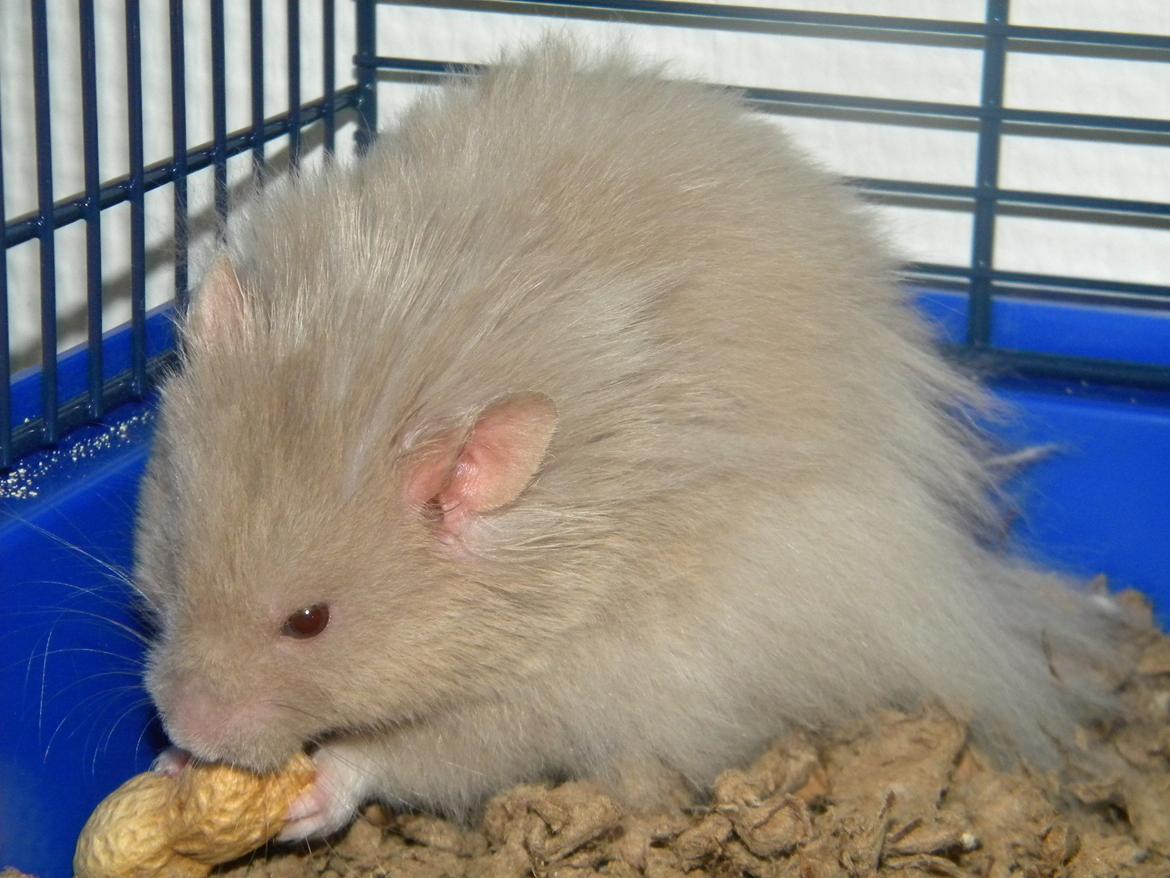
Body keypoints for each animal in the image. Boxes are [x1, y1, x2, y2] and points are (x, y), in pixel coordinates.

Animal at [134, 40, 1123, 841]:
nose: (183, 728)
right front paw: (174, 773)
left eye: (310, 622)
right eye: (176, 561)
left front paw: (306, 791)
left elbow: (430, 749)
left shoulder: (572, 682)